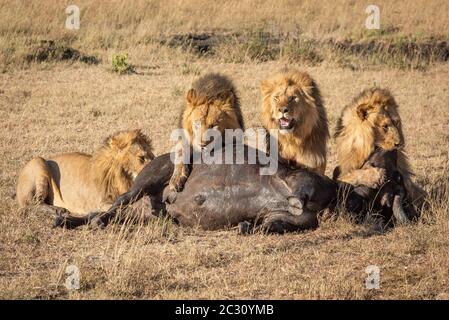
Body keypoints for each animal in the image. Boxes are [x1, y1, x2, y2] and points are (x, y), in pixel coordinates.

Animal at [16, 129, 154, 215]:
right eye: (142, 158)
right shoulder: (101, 203)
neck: (123, 178)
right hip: (38, 161)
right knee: (33, 204)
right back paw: (58, 210)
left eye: (152, 156)